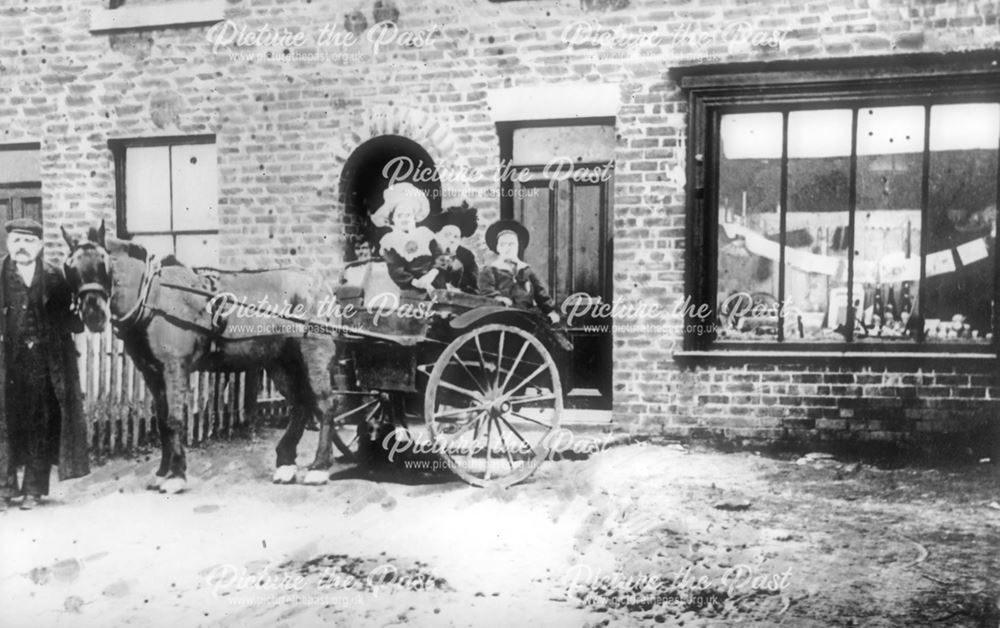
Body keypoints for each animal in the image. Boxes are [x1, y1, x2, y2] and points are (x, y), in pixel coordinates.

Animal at [63, 223, 344, 494]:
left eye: (103, 262)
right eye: (69, 267)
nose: (93, 315)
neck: (154, 297)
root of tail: (319, 284)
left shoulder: (174, 367)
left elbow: (175, 419)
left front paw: (176, 476)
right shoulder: (152, 373)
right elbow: (162, 422)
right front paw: (162, 473)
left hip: (314, 357)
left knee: (325, 405)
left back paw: (319, 468)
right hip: (282, 363)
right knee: (301, 405)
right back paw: (286, 464)